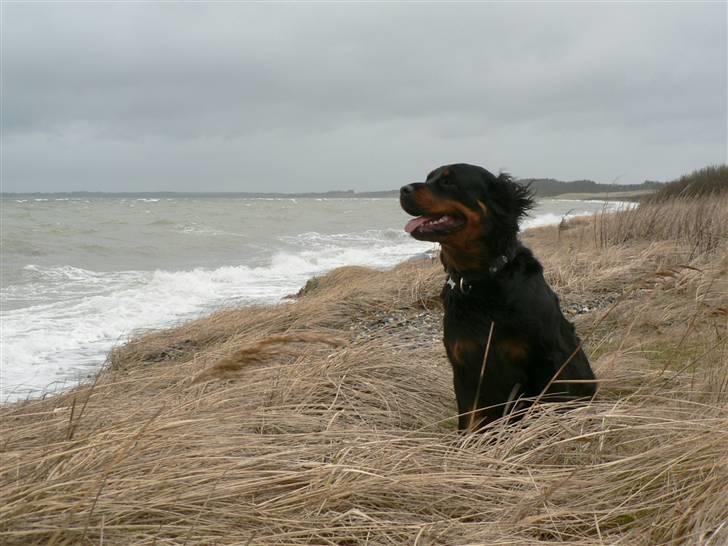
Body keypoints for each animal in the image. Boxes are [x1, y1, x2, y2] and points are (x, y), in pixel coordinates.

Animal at [398, 162, 596, 430]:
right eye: (429, 178)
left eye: (449, 181)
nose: (403, 189)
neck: (481, 280)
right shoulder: (465, 370)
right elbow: (468, 423)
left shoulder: (549, 365)